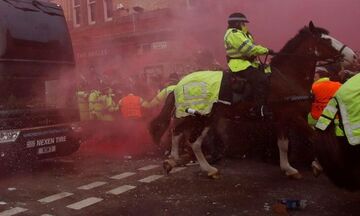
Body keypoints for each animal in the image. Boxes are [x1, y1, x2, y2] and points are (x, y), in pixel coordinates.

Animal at [149, 21, 358, 179]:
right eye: (326, 40)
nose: (354, 56)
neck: (287, 77)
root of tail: (178, 84)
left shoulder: (282, 119)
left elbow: (283, 144)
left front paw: (288, 169)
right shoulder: (292, 115)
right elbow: (313, 136)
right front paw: (317, 165)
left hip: (203, 117)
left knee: (183, 136)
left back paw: (182, 163)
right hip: (200, 116)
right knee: (186, 137)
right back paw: (196, 166)